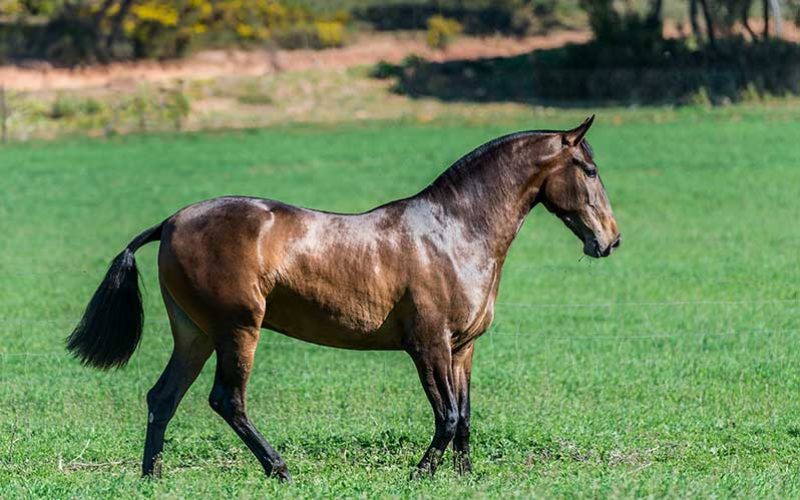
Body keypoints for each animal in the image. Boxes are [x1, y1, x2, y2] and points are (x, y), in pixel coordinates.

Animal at [67, 115, 620, 482]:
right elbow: (446, 416)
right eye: (590, 171)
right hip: (237, 329)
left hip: (195, 333)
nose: (610, 241)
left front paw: (463, 478)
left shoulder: (463, 348)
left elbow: (464, 417)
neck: (454, 233)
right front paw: (420, 475)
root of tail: (171, 222)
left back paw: (152, 478)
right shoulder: (428, 346)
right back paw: (281, 470)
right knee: (227, 399)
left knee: (163, 397)